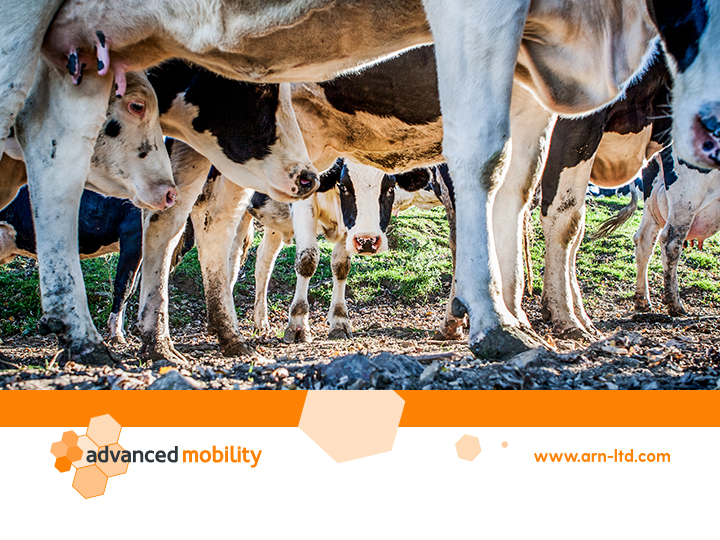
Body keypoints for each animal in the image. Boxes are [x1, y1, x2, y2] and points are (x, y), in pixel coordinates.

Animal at [249, 159, 433, 342]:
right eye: (344, 186)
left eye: (390, 188)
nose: (367, 240)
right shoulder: (303, 202)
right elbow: (307, 259)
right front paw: (298, 323)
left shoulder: (348, 226)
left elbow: (341, 266)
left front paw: (339, 322)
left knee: (264, 260)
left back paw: (261, 320)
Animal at [596, 146, 720, 317]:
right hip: (686, 198)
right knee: (670, 242)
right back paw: (674, 303)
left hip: (652, 200)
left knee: (644, 240)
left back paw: (642, 301)